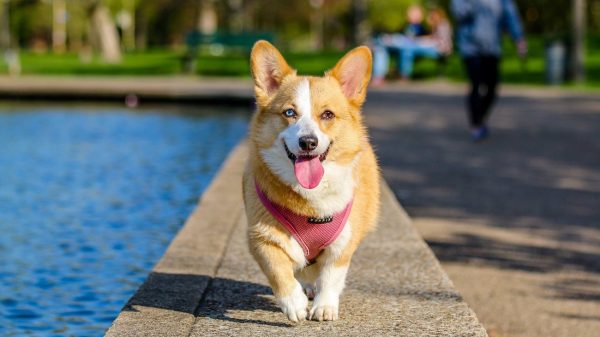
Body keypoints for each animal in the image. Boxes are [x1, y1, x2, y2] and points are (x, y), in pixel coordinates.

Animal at [243, 40, 380, 322]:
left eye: (327, 115)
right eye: (289, 112)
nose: (308, 142)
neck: (310, 199)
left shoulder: (343, 243)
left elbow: (331, 276)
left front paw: (324, 306)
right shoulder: (261, 237)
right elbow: (279, 271)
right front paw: (293, 303)